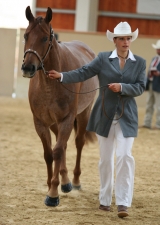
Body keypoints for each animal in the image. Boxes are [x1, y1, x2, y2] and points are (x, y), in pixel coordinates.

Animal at [21, 6, 98, 207]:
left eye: (44, 38)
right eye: (25, 35)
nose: (27, 68)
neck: (50, 83)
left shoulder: (67, 119)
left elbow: (56, 152)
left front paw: (53, 194)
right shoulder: (40, 123)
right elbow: (49, 153)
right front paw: (51, 185)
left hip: (82, 114)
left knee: (77, 143)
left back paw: (75, 181)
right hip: (55, 124)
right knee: (60, 146)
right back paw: (66, 181)